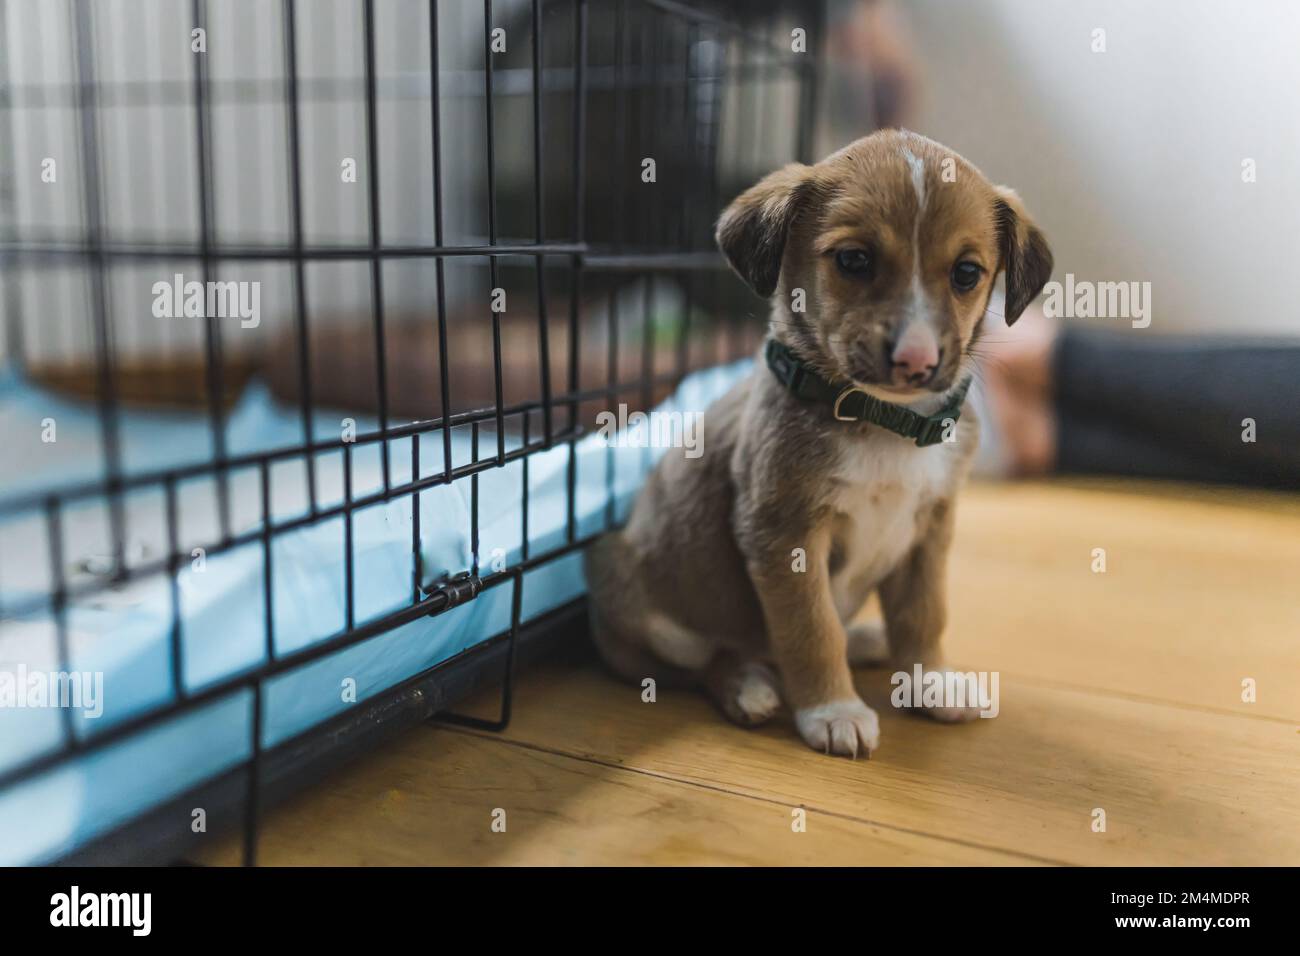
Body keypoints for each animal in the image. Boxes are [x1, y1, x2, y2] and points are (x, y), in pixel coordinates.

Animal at [585, 128, 1050, 754]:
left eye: (966, 273)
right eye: (854, 260)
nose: (917, 360)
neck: (886, 422)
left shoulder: (930, 528)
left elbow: (924, 613)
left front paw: (931, 682)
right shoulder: (784, 534)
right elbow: (811, 627)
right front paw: (832, 710)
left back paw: (868, 642)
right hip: (638, 598)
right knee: (704, 663)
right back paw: (749, 687)